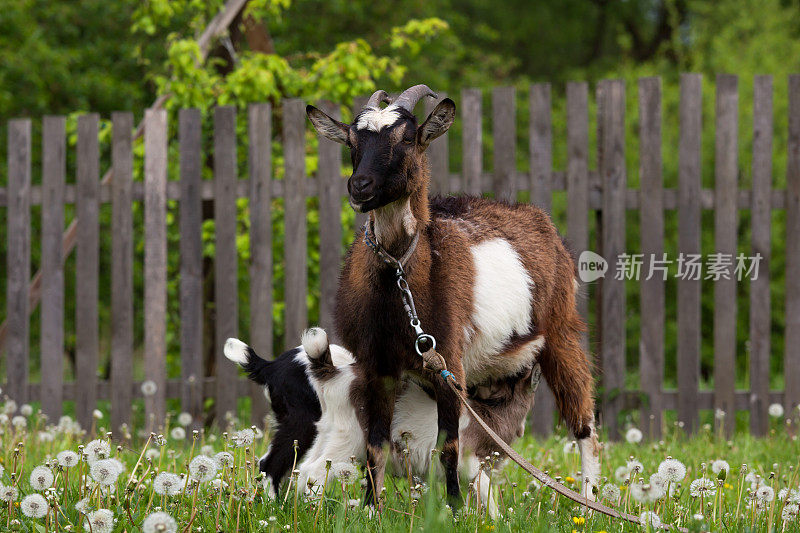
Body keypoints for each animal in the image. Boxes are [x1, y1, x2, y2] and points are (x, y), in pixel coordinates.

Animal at [306, 85, 600, 510]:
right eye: (351, 142)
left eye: (407, 138)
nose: (360, 187)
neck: (401, 288)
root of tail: (537, 218)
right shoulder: (375, 366)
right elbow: (376, 444)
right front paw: (372, 509)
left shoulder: (449, 362)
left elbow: (449, 445)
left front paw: (455, 509)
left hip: (561, 332)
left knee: (584, 422)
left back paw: (591, 502)